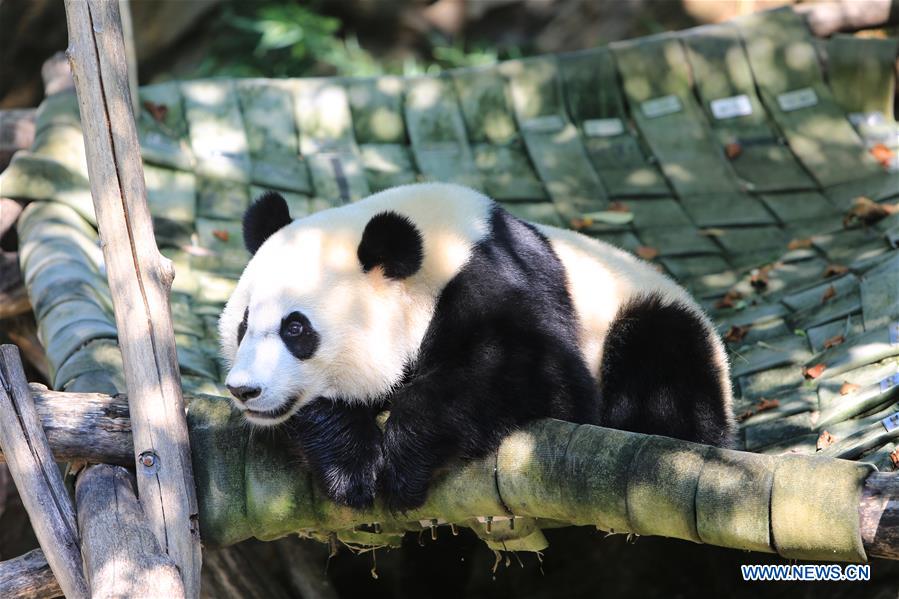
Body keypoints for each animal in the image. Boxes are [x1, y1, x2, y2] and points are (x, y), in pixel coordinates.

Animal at [220, 183, 740, 510]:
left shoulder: (497, 275)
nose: (244, 390)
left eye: (295, 329)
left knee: (662, 367)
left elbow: (540, 376)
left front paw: (405, 460)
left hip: (645, 319)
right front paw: (350, 462)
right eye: (243, 325)